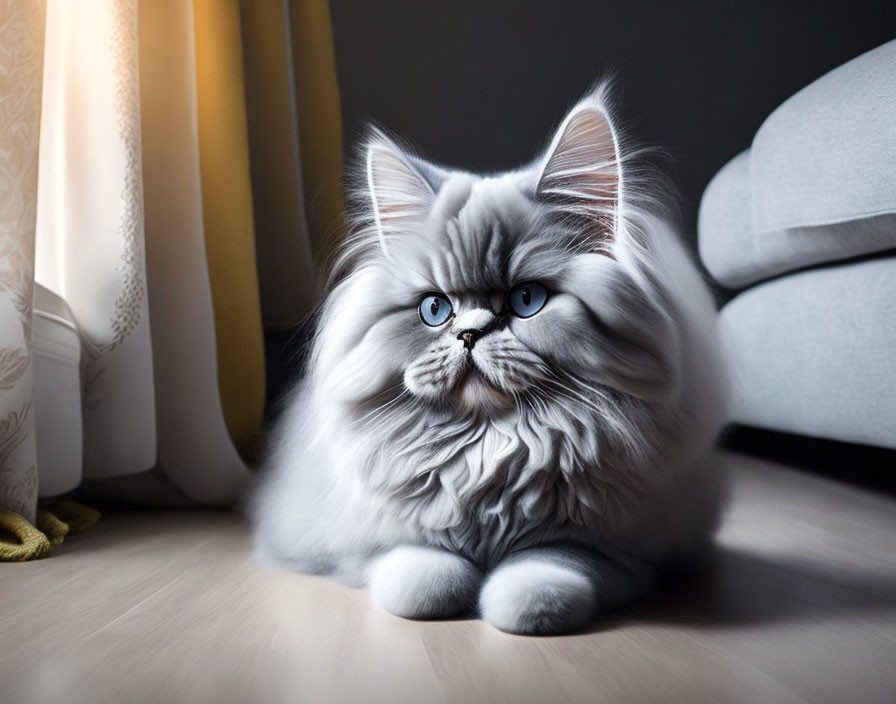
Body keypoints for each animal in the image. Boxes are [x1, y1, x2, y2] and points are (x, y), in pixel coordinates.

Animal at [252, 85, 728, 636]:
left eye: (527, 300)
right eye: (435, 309)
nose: (469, 334)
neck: (492, 450)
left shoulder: (616, 551)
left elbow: (548, 571)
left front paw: (517, 609)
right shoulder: (370, 543)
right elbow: (420, 572)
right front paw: (448, 594)